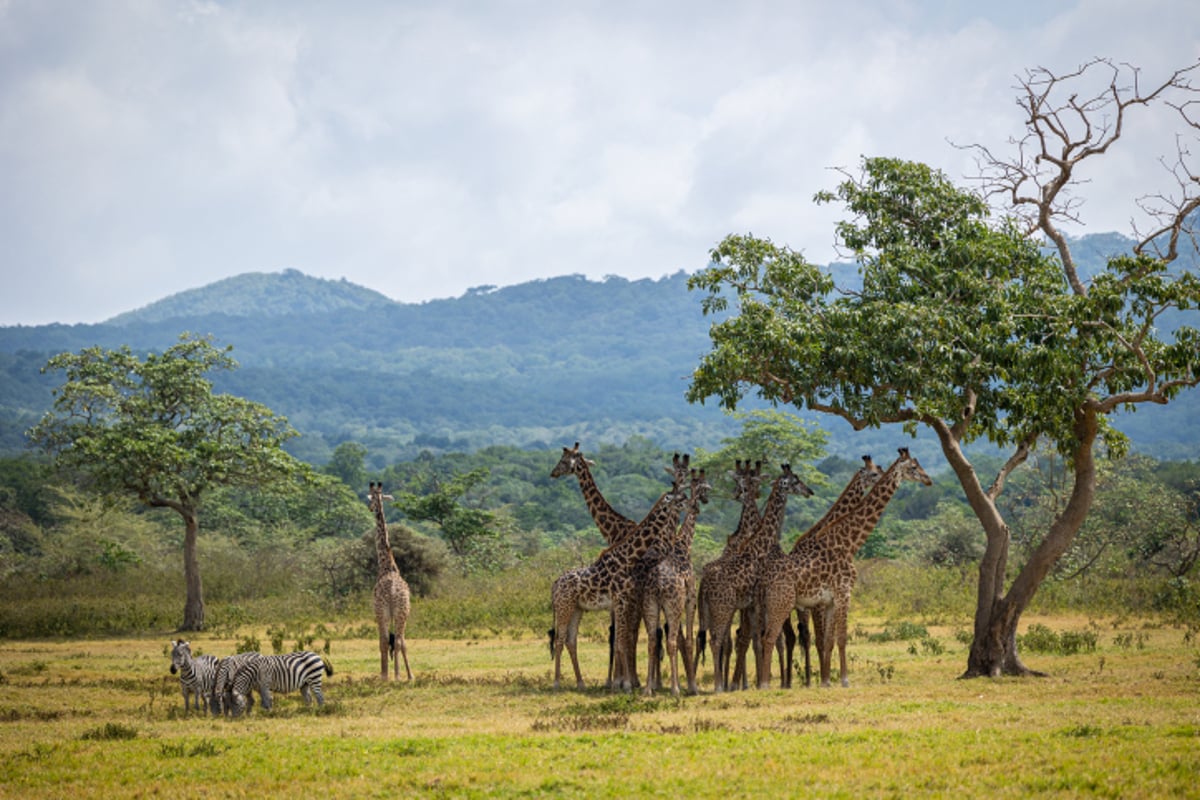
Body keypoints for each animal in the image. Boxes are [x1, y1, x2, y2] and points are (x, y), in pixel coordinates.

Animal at [643, 465, 705, 695]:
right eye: (702, 489)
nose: (697, 507)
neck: (683, 544)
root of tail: (659, 583)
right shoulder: (690, 598)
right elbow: (688, 641)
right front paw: (692, 687)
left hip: (650, 604)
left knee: (652, 641)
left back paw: (648, 689)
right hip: (673, 604)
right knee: (671, 642)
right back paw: (675, 689)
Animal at [700, 465, 811, 690]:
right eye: (795, 481)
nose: (809, 491)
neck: (761, 544)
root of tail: (704, 583)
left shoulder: (751, 604)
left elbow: (754, 639)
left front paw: (756, 681)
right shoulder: (757, 602)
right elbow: (760, 639)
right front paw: (760, 682)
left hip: (709, 610)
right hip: (723, 608)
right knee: (717, 641)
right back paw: (719, 686)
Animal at [753, 450, 931, 690]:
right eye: (913, 467)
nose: (928, 480)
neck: (848, 545)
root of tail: (764, 578)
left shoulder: (829, 600)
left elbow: (828, 640)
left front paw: (826, 681)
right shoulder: (843, 593)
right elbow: (842, 637)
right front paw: (845, 680)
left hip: (770, 605)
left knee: (768, 637)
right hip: (783, 602)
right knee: (771, 637)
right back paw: (766, 684)